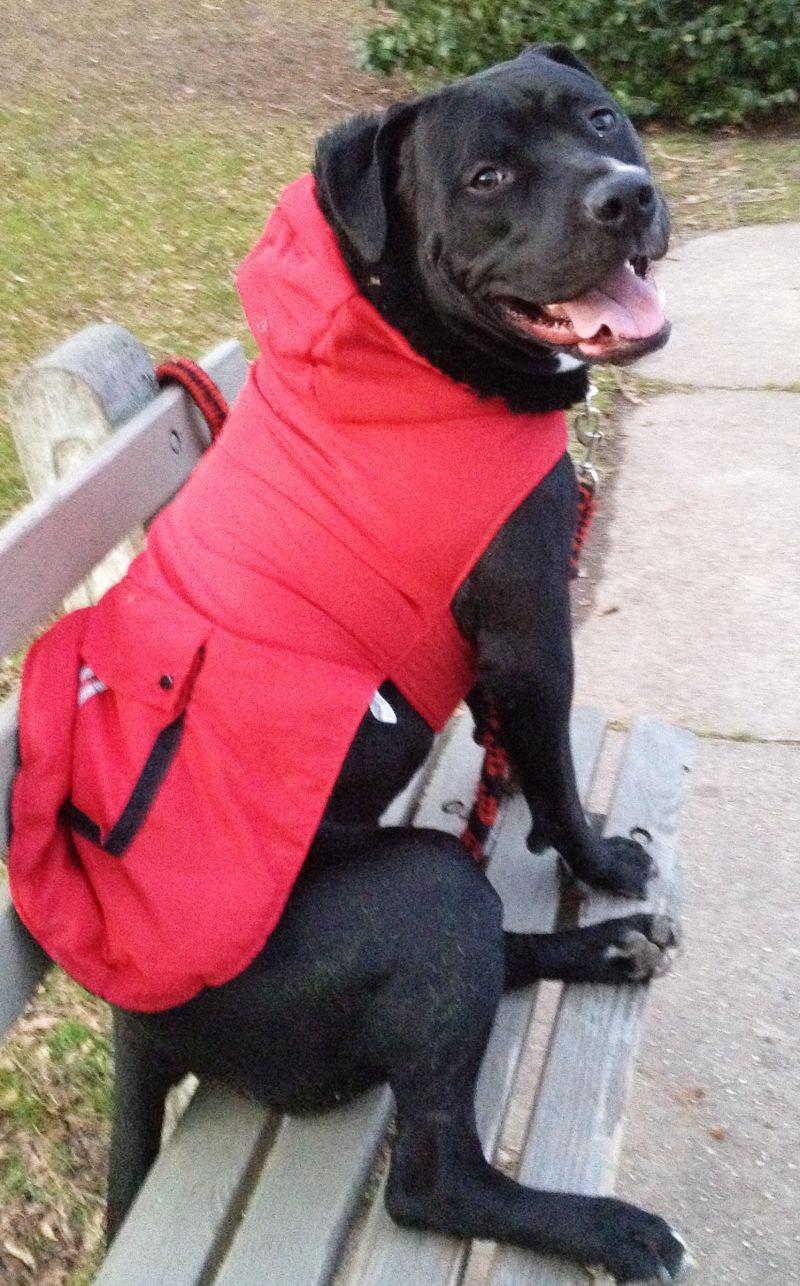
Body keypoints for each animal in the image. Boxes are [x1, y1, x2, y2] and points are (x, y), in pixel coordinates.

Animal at [104, 45, 689, 1280]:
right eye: (486, 176)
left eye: (601, 119)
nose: (623, 196)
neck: (408, 347)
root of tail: (136, 1018)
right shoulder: (529, 635)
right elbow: (556, 780)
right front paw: (601, 863)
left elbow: (529, 776)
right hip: (421, 892)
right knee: (428, 1177)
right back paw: (605, 1223)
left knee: (491, 948)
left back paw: (607, 951)